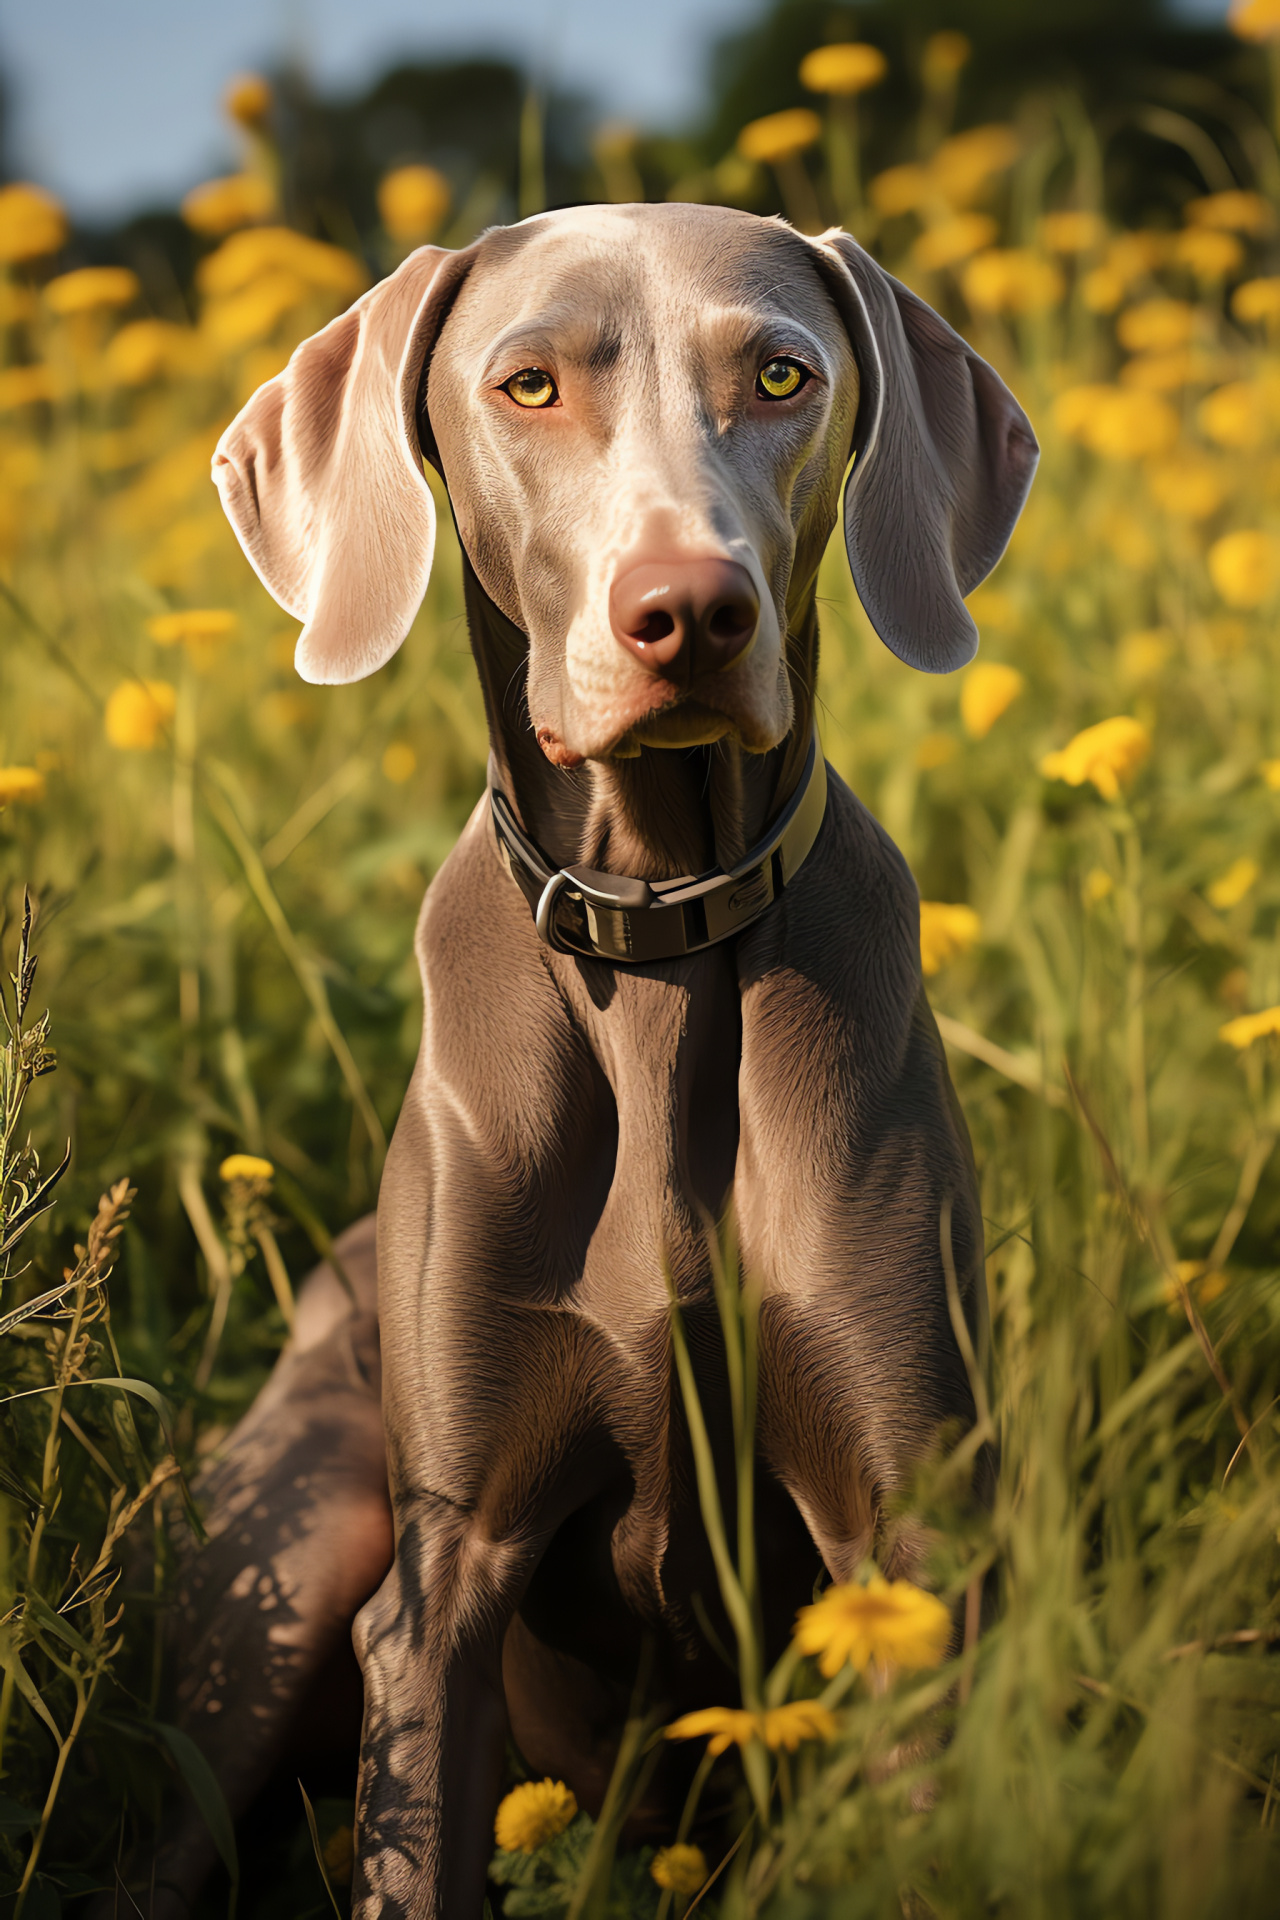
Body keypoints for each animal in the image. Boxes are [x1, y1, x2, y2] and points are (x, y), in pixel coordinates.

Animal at [150, 202, 1036, 1912]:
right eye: (530, 386)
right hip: (281, 1571)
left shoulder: (907, 1550)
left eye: (782, 374)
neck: (659, 938)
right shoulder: (445, 1587)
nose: (690, 610)